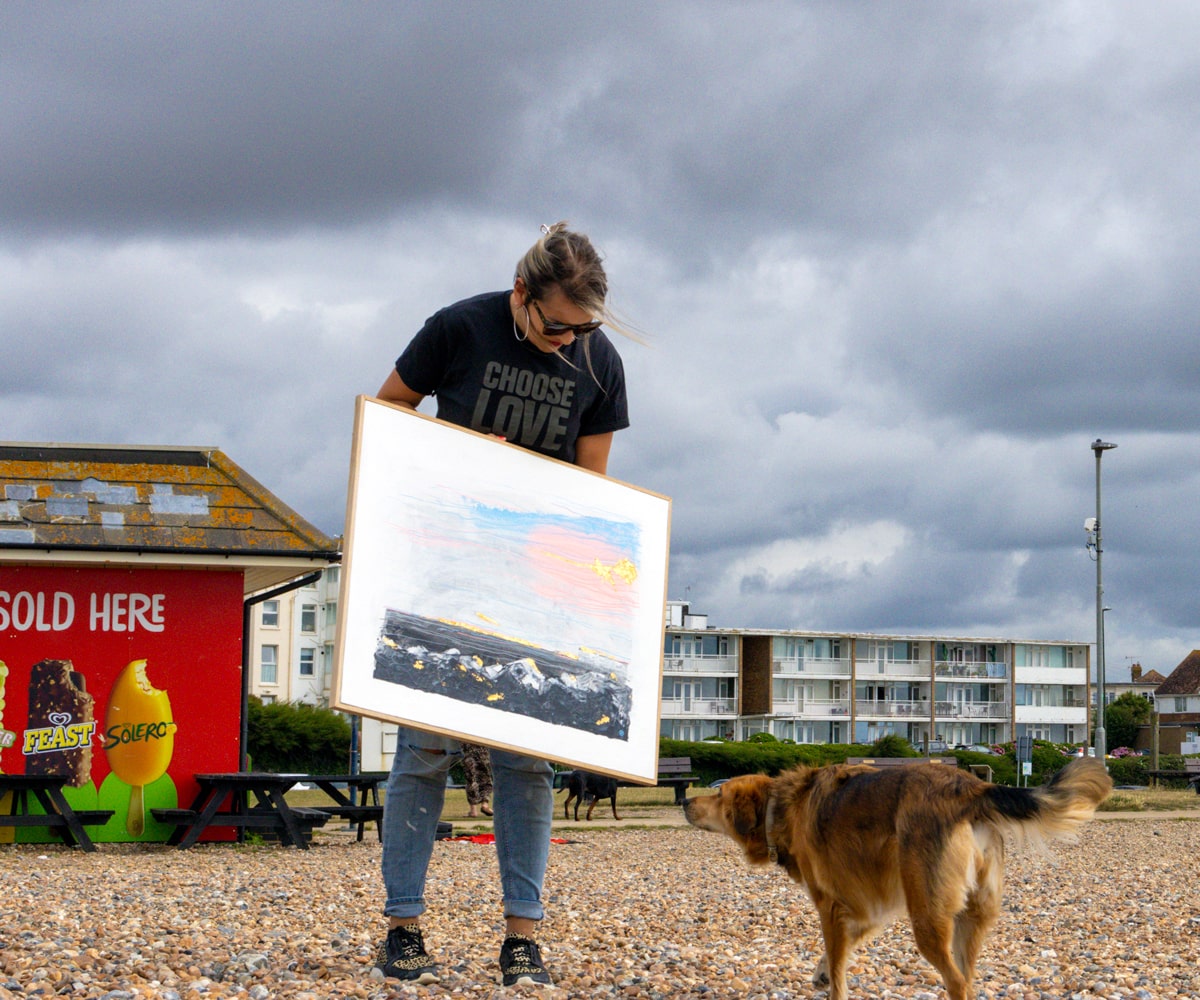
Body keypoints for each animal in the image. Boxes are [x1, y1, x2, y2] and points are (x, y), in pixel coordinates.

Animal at [686, 758, 1113, 998]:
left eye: (719, 794)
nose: (686, 801)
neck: (782, 806)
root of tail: (971, 786)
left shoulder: (829, 906)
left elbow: (838, 971)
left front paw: (829, 979)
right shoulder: (866, 910)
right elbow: (838, 954)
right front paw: (820, 972)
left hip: (927, 918)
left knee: (956, 982)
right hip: (969, 918)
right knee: (967, 978)